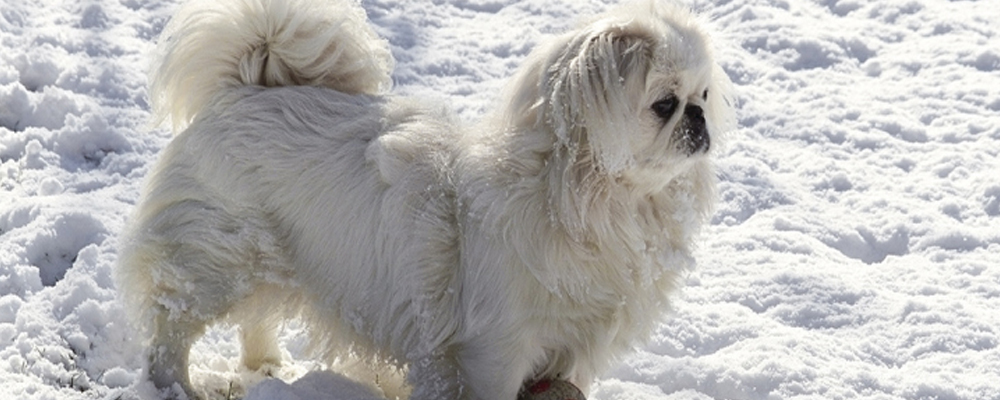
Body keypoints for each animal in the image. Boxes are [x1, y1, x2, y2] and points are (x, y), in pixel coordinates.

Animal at [119, 0, 736, 398]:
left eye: (703, 96)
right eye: (664, 104)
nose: (699, 119)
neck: (590, 202)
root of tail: (243, 88)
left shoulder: (574, 350)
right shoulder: (496, 350)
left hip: (273, 263)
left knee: (257, 318)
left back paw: (267, 368)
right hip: (214, 267)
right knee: (170, 333)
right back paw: (179, 388)